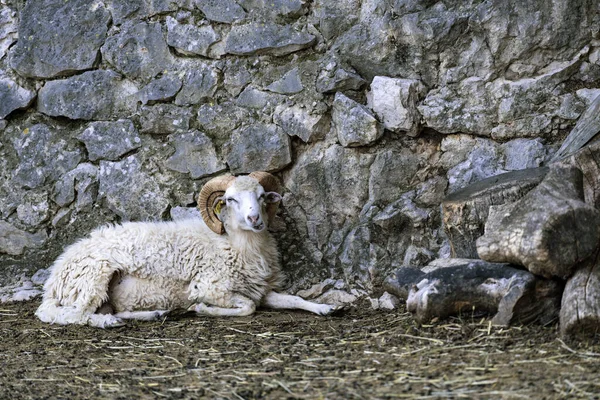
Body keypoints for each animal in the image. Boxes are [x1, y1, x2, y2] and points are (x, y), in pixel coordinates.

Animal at [36, 172, 338, 328]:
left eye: (262, 196)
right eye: (230, 199)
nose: (255, 219)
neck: (234, 245)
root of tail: (54, 277)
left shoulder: (261, 289)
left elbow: (293, 299)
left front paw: (327, 307)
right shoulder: (210, 287)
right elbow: (247, 307)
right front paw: (202, 309)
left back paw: (154, 314)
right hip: (93, 277)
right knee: (72, 315)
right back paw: (107, 323)